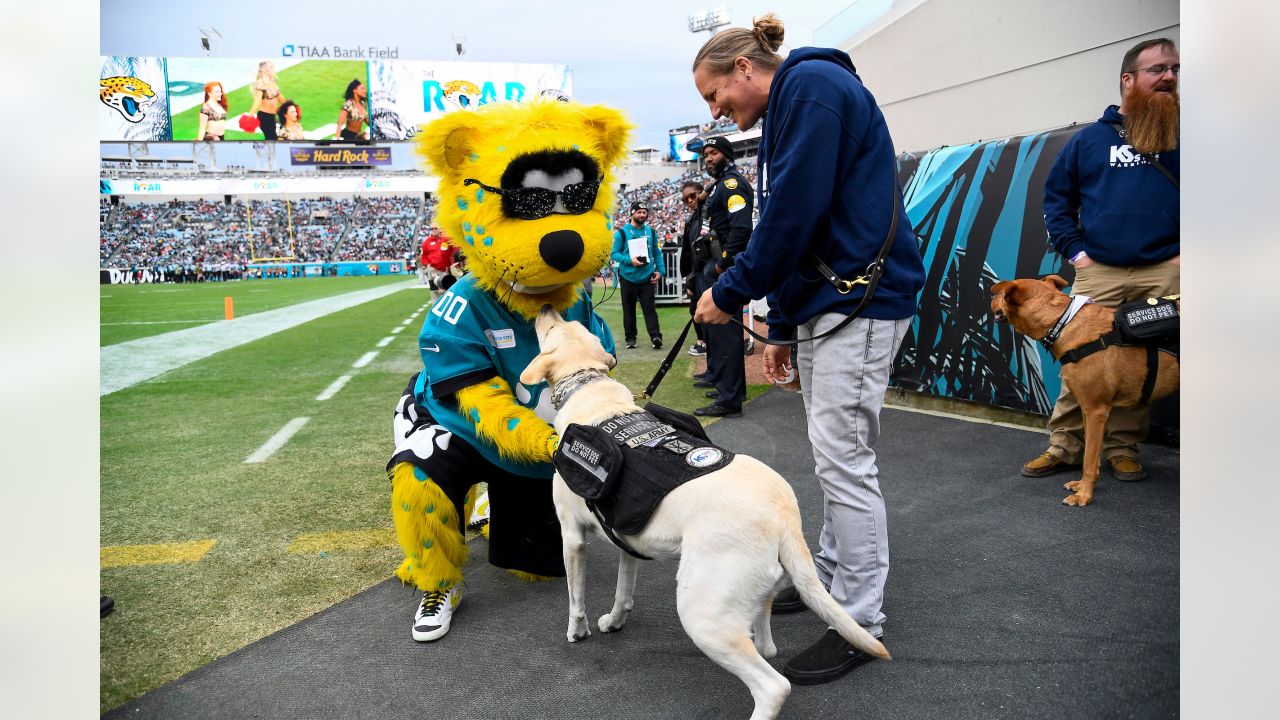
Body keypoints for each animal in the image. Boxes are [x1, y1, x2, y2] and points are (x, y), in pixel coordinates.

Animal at [514, 307, 885, 717]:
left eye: (551, 327)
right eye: (567, 323)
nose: (545, 309)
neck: (589, 387)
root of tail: (784, 516)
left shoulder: (572, 538)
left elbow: (575, 598)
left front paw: (577, 632)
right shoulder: (627, 540)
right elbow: (623, 592)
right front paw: (615, 620)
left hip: (703, 614)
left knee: (774, 687)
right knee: (767, 648)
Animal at [988, 274, 1177, 504]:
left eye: (1001, 294)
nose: (990, 297)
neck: (1062, 322)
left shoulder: (1096, 411)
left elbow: (1089, 460)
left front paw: (1084, 494)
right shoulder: (1086, 408)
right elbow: (1089, 453)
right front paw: (1082, 485)